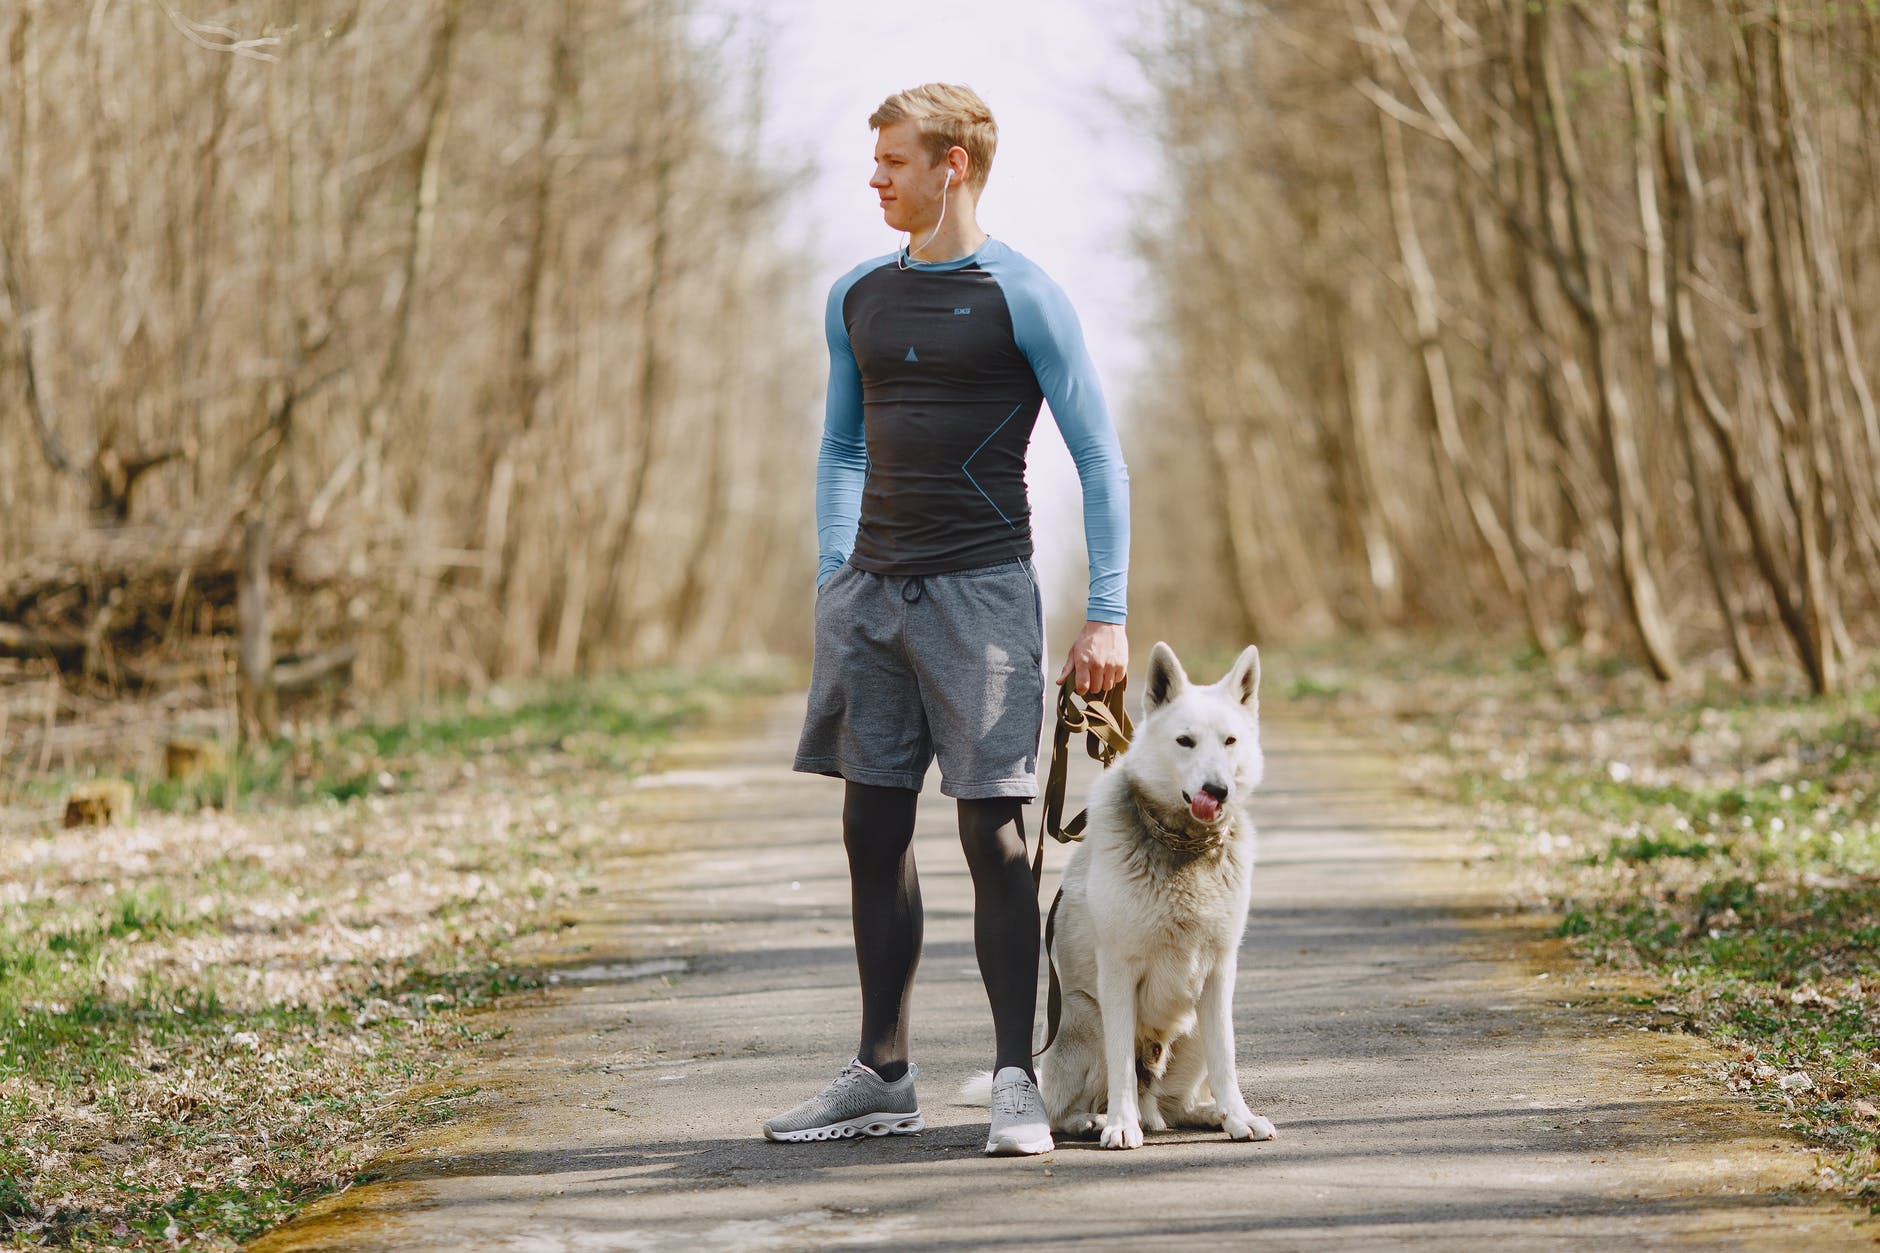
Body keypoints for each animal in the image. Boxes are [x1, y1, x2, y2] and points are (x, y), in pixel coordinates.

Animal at [1007, 639, 1285, 1143]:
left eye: (1230, 741)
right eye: (1185, 741)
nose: (1217, 790)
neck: (1183, 847)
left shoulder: (1219, 975)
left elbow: (1227, 1059)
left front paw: (1239, 1116)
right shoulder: (1118, 974)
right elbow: (1120, 1064)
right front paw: (1120, 1125)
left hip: (1191, 1029)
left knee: (1175, 1105)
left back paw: (1208, 1113)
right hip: (1088, 1017)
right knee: (1067, 1107)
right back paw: (1098, 1119)